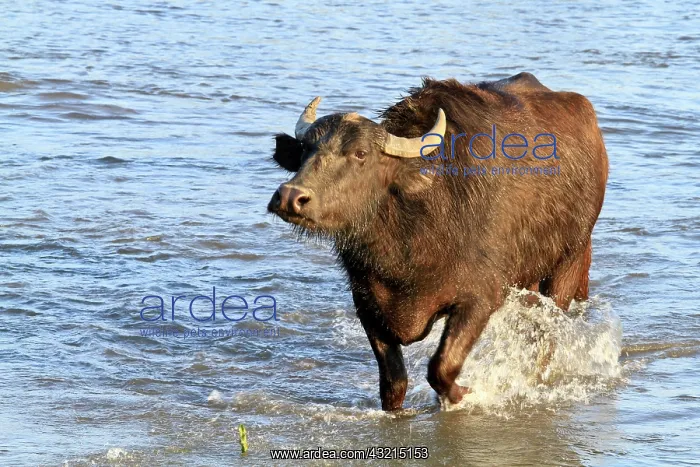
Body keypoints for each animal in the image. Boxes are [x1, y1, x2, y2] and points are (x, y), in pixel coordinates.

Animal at [268, 73, 609, 410]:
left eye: (360, 153)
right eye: (306, 149)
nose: (290, 196)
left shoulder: (481, 298)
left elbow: (442, 367)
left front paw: (463, 394)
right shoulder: (366, 302)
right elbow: (393, 382)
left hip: (570, 262)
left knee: (546, 339)